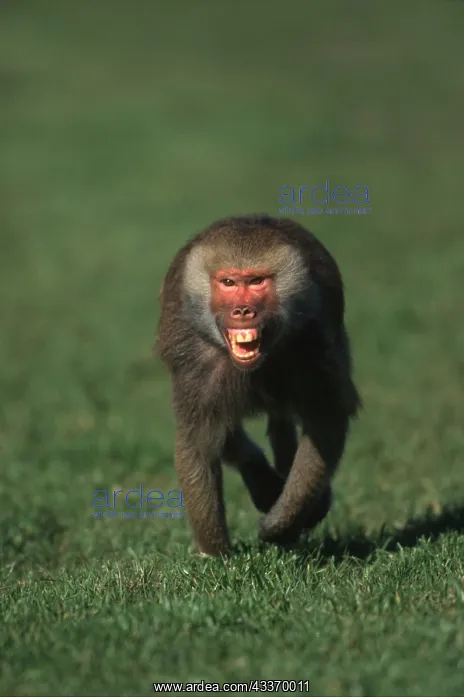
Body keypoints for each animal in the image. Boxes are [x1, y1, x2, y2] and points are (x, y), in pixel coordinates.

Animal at [155, 214, 360, 556]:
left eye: (256, 282)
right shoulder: (197, 364)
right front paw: (216, 554)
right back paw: (263, 482)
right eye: (228, 283)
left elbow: (325, 425)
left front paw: (282, 525)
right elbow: (198, 440)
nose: (242, 311)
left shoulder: (312, 347)